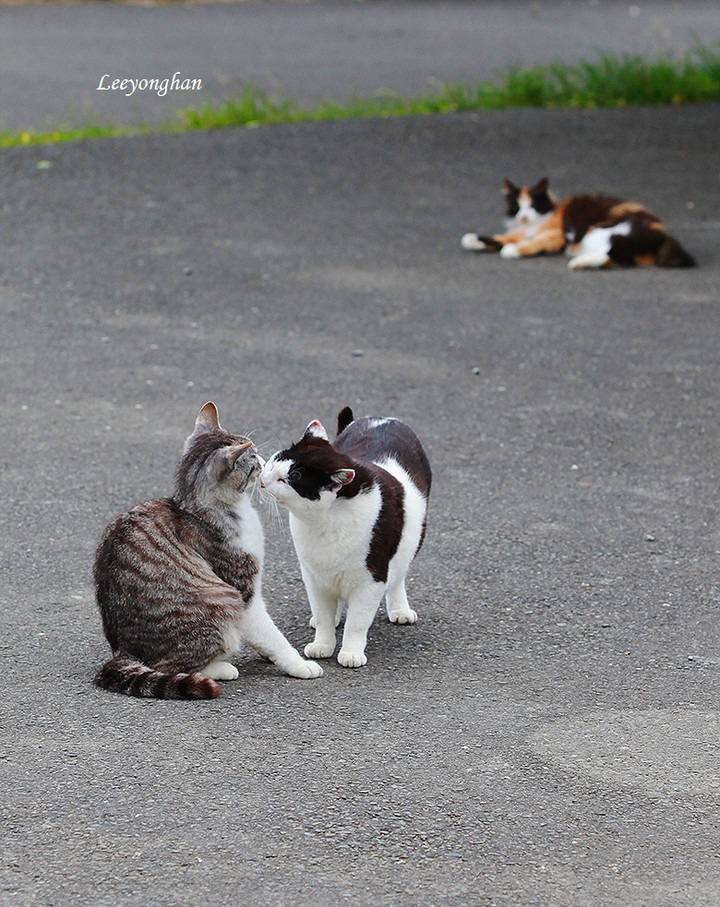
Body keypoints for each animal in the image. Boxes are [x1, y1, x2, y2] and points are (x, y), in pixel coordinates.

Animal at [93, 400, 324, 704]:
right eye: (253, 459)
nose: (263, 463)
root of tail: (123, 649)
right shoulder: (244, 593)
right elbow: (271, 634)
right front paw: (297, 663)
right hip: (222, 600)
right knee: (169, 666)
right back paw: (221, 668)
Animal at [260, 408, 430, 672]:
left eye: (291, 477)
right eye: (274, 461)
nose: (262, 478)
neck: (324, 521)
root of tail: (381, 418)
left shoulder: (371, 580)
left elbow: (357, 623)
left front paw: (351, 652)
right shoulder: (313, 576)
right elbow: (323, 615)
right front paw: (322, 643)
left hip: (411, 540)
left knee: (399, 573)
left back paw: (400, 609)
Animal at [464, 177, 696, 270]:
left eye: (532, 205)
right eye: (517, 206)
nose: (523, 216)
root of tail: (664, 236)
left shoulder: (555, 235)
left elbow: (528, 243)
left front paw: (512, 250)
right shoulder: (521, 232)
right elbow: (500, 238)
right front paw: (472, 240)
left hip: (603, 231)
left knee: (612, 255)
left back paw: (577, 262)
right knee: (616, 259)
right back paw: (580, 262)